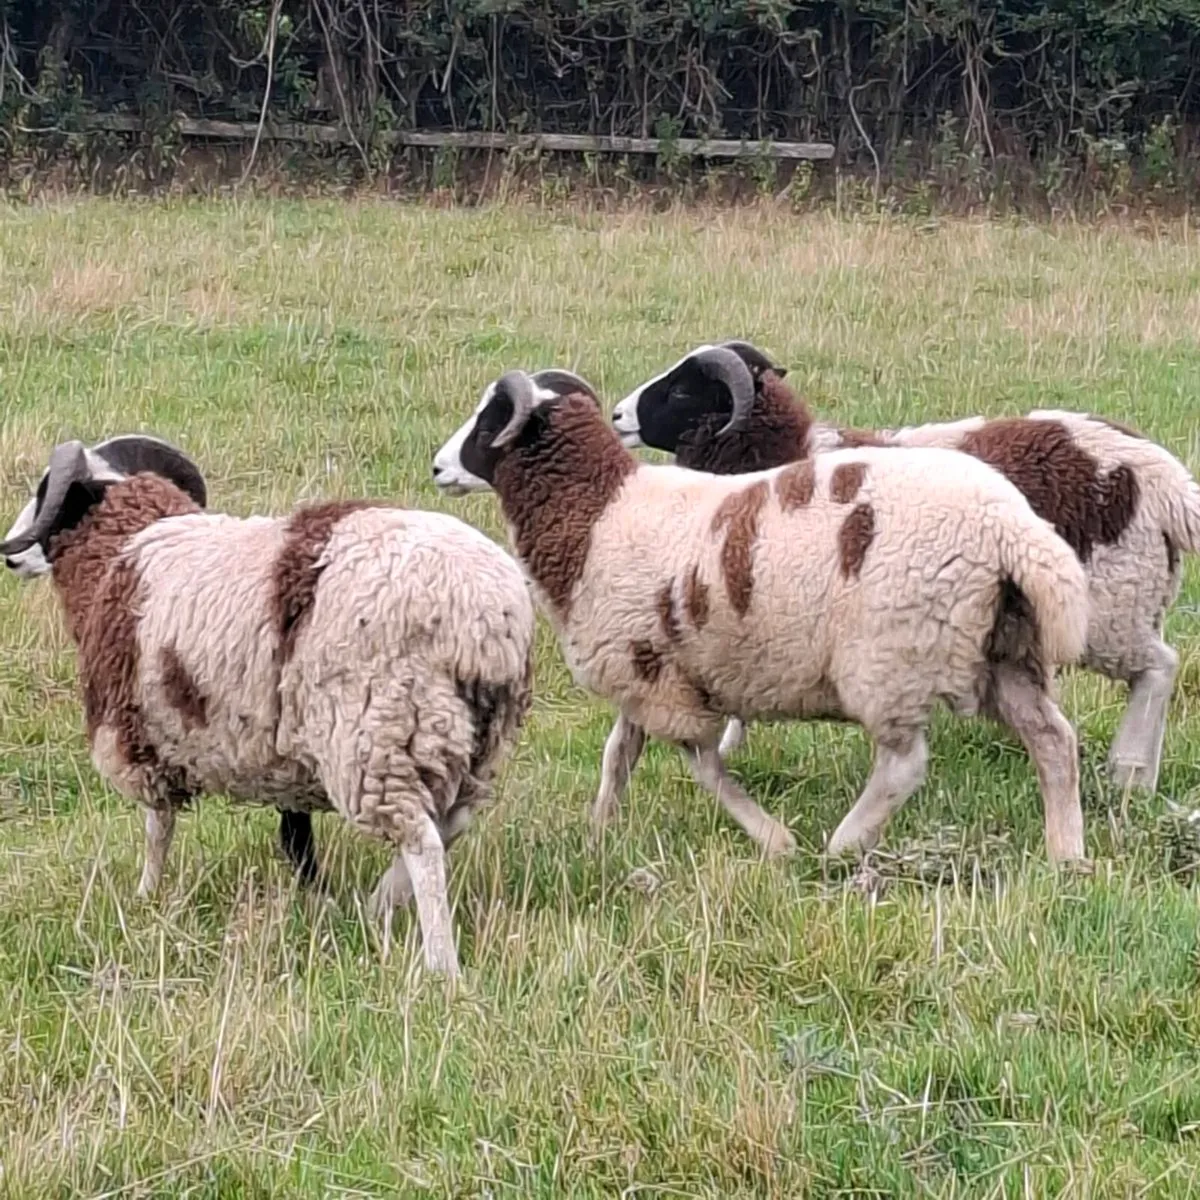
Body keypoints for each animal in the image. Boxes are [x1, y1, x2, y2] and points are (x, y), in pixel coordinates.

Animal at [1, 435, 535, 977]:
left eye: (46, 494)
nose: (13, 555)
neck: (121, 548)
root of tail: (488, 619)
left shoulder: (141, 736)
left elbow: (158, 828)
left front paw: (146, 896)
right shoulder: (285, 756)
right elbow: (295, 837)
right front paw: (315, 897)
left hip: (377, 733)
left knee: (423, 843)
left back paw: (439, 965)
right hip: (468, 737)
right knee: (451, 824)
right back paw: (378, 903)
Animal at [432, 366, 1092, 865]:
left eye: (489, 421)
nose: (437, 467)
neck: (595, 515)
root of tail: (1011, 526)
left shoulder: (661, 685)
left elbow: (706, 768)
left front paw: (775, 840)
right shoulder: (641, 669)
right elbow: (618, 755)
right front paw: (600, 832)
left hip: (892, 656)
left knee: (903, 765)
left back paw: (843, 844)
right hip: (1003, 649)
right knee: (1053, 741)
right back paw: (1066, 853)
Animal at [612, 340, 1200, 790]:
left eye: (682, 391)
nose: (617, 415)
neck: (786, 453)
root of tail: (1168, 482)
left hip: (1110, 601)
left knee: (1158, 668)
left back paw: (1128, 771)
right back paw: (1138, 780)